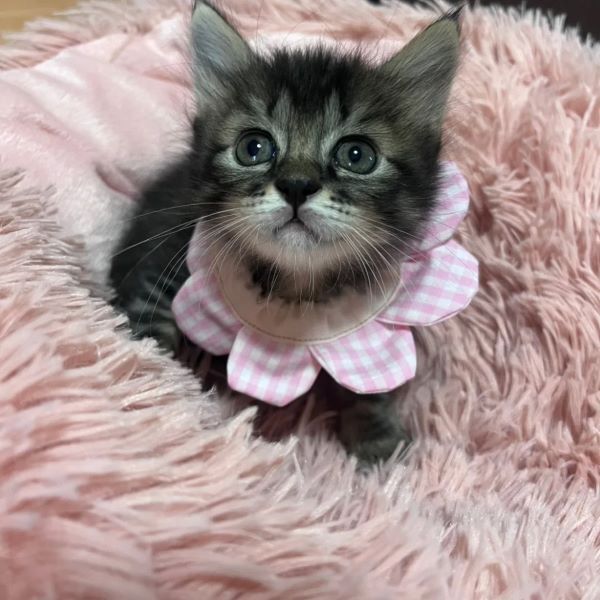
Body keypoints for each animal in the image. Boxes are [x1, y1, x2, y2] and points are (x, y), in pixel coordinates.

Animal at [110, 1, 461, 463]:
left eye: (357, 155)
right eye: (253, 148)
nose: (296, 185)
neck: (297, 282)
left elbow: (370, 386)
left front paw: (378, 439)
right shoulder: (164, 256)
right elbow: (153, 336)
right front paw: (175, 404)